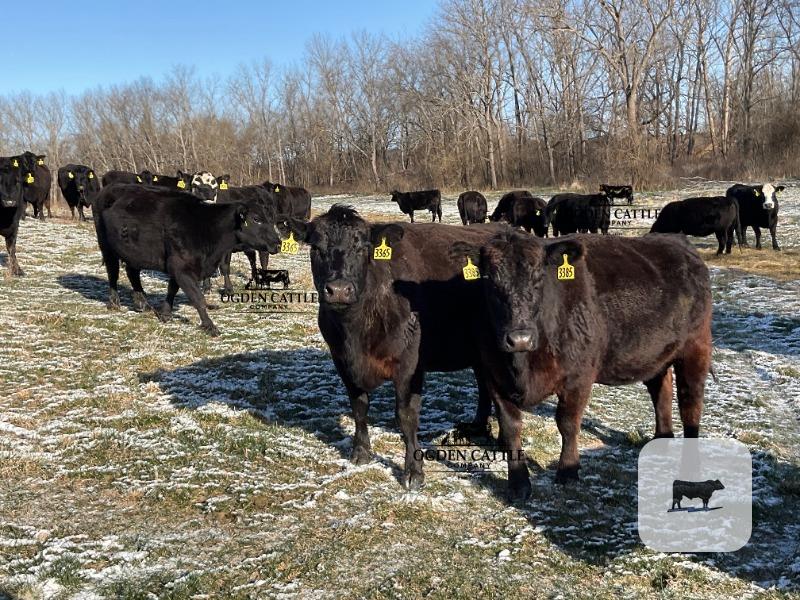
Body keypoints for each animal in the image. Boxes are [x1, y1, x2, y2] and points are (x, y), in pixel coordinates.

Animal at [92, 184, 289, 336]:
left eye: (271, 218)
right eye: (256, 219)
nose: (277, 243)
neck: (205, 226)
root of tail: (106, 190)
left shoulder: (179, 267)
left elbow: (172, 289)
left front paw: (165, 313)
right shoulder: (181, 266)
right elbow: (197, 297)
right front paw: (210, 326)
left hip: (133, 252)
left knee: (132, 273)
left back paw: (143, 304)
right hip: (107, 247)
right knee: (113, 273)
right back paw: (114, 302)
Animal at [307, 205, 507, 489]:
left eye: (363, 247)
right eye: (315, 248)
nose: (338, 289)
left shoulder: (408, 364)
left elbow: (406, 415)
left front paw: (413, 471)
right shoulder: (342, 361)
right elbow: (359, 406)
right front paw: (361, 452)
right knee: (484, 385)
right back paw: (477, 427)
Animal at [449, 230, 712, 501]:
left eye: (540, 277)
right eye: (489, 279)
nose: (519, 338)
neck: (523, 367)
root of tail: (677, 240)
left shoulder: (579, 377)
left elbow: (567, 423)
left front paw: (568, 471)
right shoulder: (493, 376)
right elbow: (511, 429)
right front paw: (518, 484)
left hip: (696, 347)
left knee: (691, 404)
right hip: (655, 353)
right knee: (661, 389)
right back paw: (662, 439)